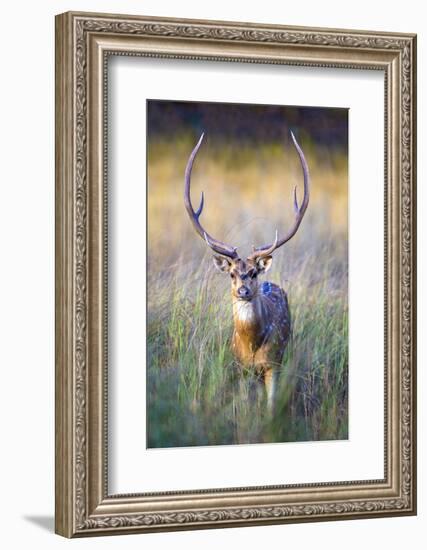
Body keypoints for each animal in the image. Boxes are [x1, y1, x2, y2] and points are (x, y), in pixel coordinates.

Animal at [185, 133, 310, 410]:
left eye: (253, 272)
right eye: (232, 273)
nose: (243, 290)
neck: (251, 344)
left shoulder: (273, 363)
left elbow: (270, 405)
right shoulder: (239, 365)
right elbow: (244, 403)